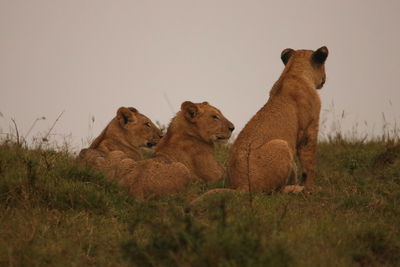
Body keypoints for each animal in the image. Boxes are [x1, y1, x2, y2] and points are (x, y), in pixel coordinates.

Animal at [225, 46, 328, 195]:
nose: (324, 79)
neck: (293, 72)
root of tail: (241, 186)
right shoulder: (309, 129)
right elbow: (309, 164)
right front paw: (312, 188)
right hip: (282, 144)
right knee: (275, 191)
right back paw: (297, 188)